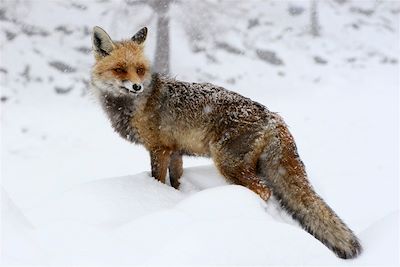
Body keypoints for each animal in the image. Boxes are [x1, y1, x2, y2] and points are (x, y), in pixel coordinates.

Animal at [90, 26, 362, 260]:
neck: (135, 104)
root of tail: (274, 116)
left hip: (228, 164)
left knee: (263, 191)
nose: (137, 86)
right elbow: (176, 183)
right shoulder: (175, 151)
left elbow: (157, 181)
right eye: (120, 69)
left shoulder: (159, 149)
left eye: (139, 69)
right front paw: (176, 202)